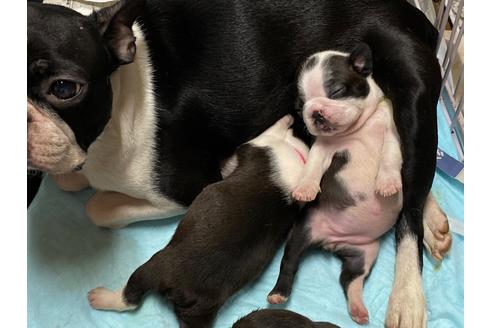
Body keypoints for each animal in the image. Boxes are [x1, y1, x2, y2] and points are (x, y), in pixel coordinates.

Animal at [85, 115, 308, 328]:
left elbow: (271, 129)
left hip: (153, 268)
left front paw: (285, 121)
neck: (300, 156)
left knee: (130, 298)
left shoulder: (256, 143)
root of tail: (184, 291)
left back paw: (101, 297)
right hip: (199, 313)